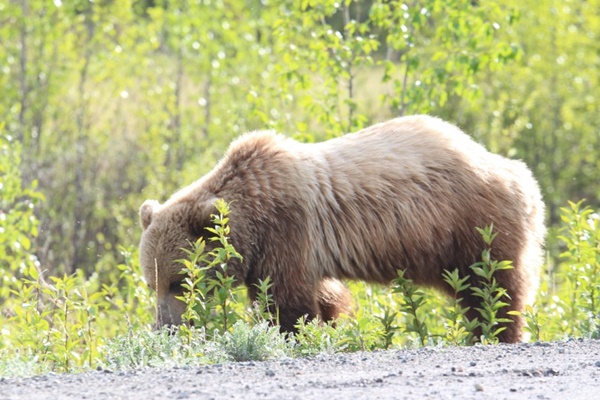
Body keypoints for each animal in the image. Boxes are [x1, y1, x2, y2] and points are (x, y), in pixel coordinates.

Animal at [138, 114, 548, 342]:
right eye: (152, 282)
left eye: (180, 282)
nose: (166, 327)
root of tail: (522, 174)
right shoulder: (293, 249)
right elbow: (323, 295)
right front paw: (333, 323)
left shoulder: (285, 230)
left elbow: (286, 303)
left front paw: (295, 334)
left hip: (473, 226)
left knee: (494, 288)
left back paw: (497, 332)